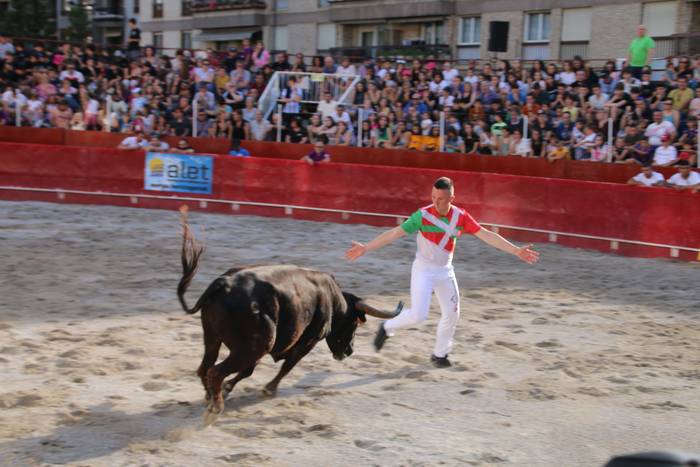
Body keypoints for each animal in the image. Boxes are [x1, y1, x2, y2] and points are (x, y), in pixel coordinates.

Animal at [176, 210, 400, 418]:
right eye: (353, 324)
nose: (349, 351)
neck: (334, 300)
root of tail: (225, 283)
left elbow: (249, 370)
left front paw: (228, 388)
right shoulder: (309, 340)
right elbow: (288, 365)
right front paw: (268, 389)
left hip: (213, 336)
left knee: (205, 367)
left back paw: (210, 397)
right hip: (256, 345)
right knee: (216, 371)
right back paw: (216, 407)